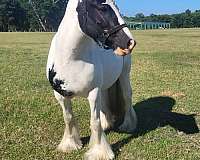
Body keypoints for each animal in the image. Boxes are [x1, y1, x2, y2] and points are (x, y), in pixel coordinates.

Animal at [47, 0, 138, 159]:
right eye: (102, 8)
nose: (129, 42)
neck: (70, 58)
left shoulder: (92, 92)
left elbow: (94, 122)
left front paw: (100, 152)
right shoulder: (60, 95)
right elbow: (68, 118)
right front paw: (70, 145)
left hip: (124, 75)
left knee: (127, 97)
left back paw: (128, 125)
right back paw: (107, 123)